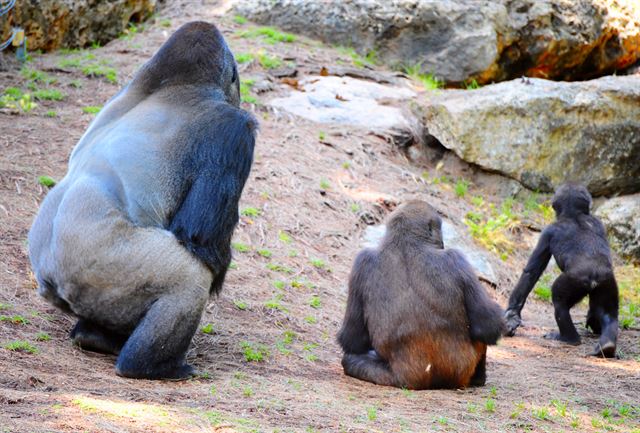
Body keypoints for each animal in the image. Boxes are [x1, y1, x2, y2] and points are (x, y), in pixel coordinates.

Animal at [26, 21, 258, 378]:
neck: (175, 83)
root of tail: (50, 278)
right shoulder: (233, 129)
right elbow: (200, 237)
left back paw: (94, 337)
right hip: (104, 270)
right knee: (189, 278)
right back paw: (152, 366)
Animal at [338, 201, 508, 390]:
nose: (442, 242)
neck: (406, 241)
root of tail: (413, 381)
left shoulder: (361, 261)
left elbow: (352, 339)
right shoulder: (456, 258)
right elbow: (487, 326)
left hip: (390, 377)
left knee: (350, 360)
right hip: (460, 374)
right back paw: (479, 379)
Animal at [504, 184, 620, 356]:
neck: (575, 215)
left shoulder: (548, 232)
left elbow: (531, 271)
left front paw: (512, 314)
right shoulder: (599, 223)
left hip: (575, 282)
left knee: (559, 301)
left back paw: (568, 338)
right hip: (607, 283)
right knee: (608, 313)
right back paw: (607, 345)